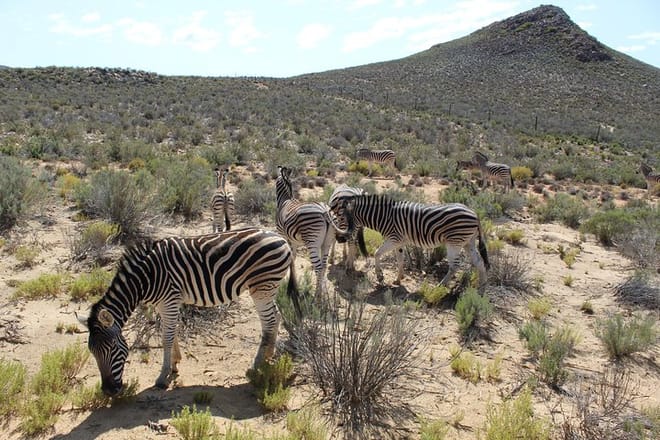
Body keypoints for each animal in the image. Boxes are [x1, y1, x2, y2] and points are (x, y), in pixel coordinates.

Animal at [78, 227, 300, 396]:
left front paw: (163, 377)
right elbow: (170, 332)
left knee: (269, 320)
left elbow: (166, 337)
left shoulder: (169, 300)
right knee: (275, 317)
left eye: (112, 348)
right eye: (92, 351)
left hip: (262, 287)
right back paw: (268, 355)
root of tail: (281, 238)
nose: (108, 391)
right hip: (267, 288)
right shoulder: (164, 304)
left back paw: (257, 364)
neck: (145, 279)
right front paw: (175, 363)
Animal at [276, 166, 353, 295]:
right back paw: (323, 292)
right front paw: (293, 284)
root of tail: (324, 210)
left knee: (318, 267)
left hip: (312, 242)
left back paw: (317, 295)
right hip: (326, 242)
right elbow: (293, 258)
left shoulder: (282, 234)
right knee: (324, 265)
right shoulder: (293, 240)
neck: (285, 200)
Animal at [339, 194, 489, 288]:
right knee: (479, 262)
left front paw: (380, 276)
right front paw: (398, 279)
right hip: (468, 242)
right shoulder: (399, 242)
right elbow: (400, 259)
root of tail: (474, 214)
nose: (341, 239)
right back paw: (480, 289)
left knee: (455, 266)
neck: (384, 217)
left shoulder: (393, 239)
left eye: (344, 219)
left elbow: (376, 253)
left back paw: (440, 286)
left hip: (454, 242)